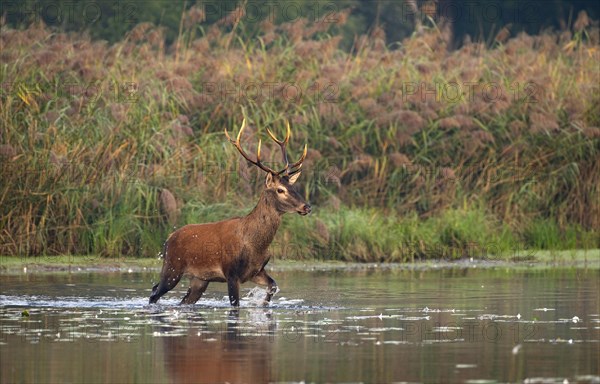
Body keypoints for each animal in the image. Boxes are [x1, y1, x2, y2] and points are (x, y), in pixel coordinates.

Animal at [150, 118, 312, 308]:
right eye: (280, 190)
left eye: (293, 187)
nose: (306, 207)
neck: (255, 244)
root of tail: (168, 239)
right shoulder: (231, 272)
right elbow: (235, 304)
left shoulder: (256, 271)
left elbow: (273, 286)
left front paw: (263, 304)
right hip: (172, 267)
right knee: (154, 292)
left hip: (199, 279)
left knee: (182, 300)